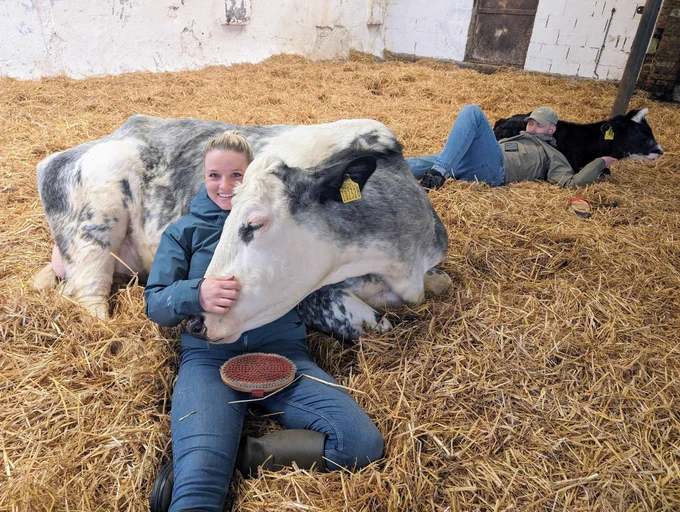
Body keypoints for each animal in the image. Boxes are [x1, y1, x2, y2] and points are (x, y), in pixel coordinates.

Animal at [34, 115, 451, 342]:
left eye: (253, 223)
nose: (197, 319)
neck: (400, 264)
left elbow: (441, 282)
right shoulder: (314, 298)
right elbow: (377, 325)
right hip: (97, 228)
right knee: (87, 299)